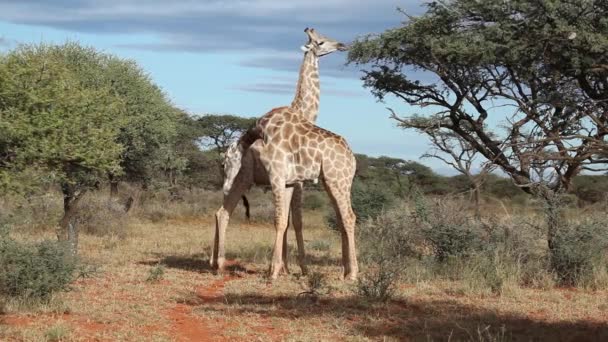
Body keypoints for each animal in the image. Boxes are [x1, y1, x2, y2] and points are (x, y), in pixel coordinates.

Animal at [211, 28, 350, 276]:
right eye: (320, 42)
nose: (342, 45)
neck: (302, 111)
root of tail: (222, 157)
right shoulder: (294, 180)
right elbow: (291, 221)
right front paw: (293, 268)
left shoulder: (291, 181)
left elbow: (289, 221)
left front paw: (286, 267)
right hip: (237, 180)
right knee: (222, 213)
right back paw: (219, 263)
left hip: (237, 181)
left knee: (220, 212)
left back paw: (215, 263)